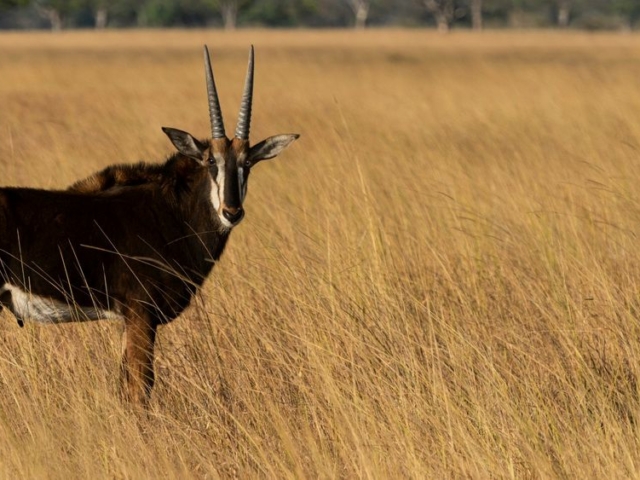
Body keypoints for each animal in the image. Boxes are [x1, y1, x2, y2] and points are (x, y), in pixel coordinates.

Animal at [0, 46, 299, 406]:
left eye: (248, 163)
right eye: (210, 161)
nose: (232, 211)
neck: (172, 213)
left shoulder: (128, 320)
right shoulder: (141, 313)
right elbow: (140, 388)